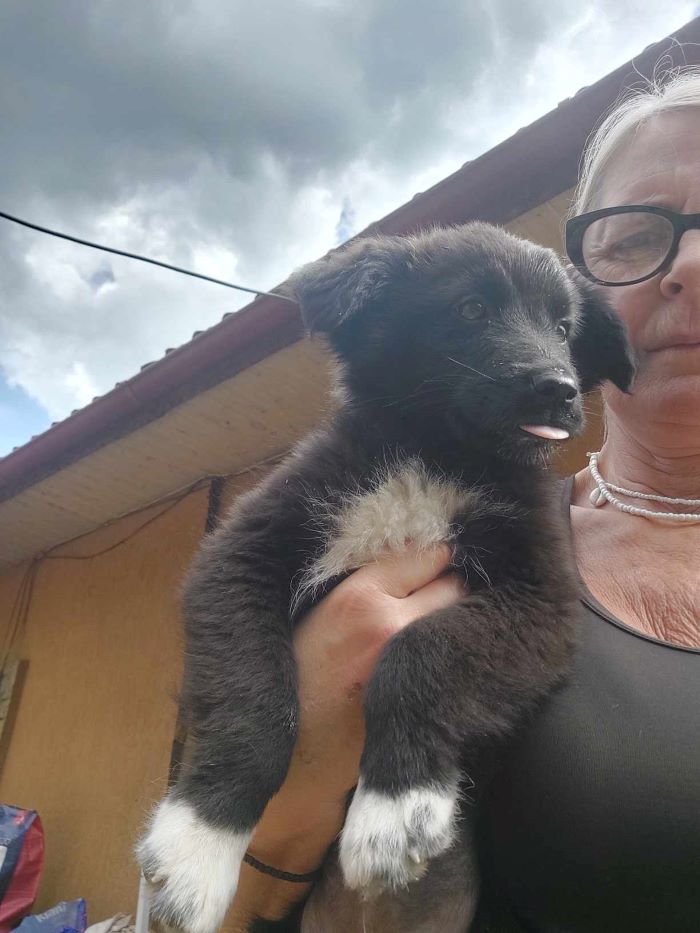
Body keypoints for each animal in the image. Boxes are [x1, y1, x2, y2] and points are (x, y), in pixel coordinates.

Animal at [137, 222, 636, 928]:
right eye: (471, 309)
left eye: (564, 329)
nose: (560, 390)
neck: (435, 455)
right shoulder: (238, 558)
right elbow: (256, 703)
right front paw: (199, 848)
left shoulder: (542, 605)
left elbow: (419, 653)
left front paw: (394, 809)